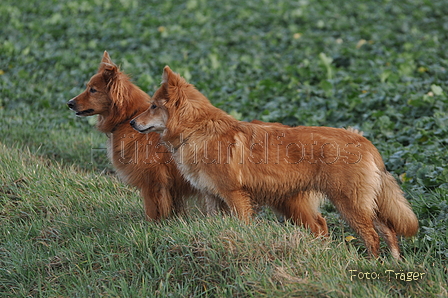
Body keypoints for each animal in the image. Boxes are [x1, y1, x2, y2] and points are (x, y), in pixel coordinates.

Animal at [68, 53, 198, 219]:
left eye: (92, 90)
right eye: (88, 88)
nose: (69, 103)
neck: (128, 117)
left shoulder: (152, 182)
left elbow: (152, 209)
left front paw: (153, 224)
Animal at [131, 67, 418, 258]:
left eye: (153, 106)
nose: (132, 122)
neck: (198, 130)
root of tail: (363, 140)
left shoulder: (236, 195)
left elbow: (243, 224)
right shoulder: (211, 196)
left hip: (350, 204)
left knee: (372, 237)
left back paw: (372, 264)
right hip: (351, 203)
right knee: (386, 231)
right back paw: (394, 264)